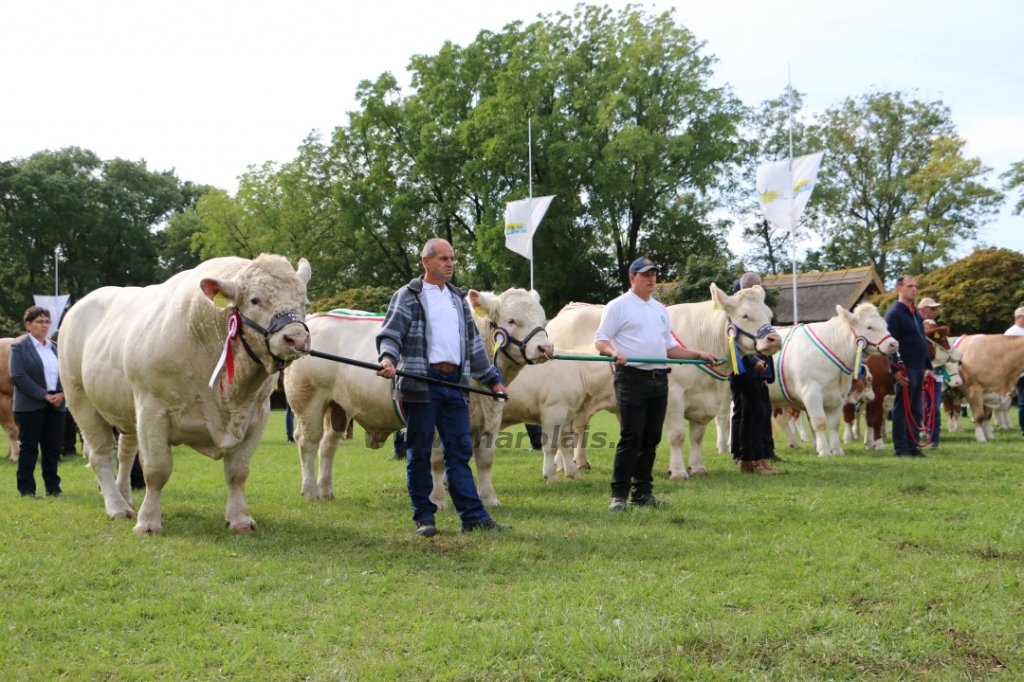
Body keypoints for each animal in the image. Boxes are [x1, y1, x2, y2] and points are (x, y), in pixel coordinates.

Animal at [59, 253, 311, 532]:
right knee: (100, 455)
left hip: (125, 408)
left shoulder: (257, 413)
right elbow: (156, 471)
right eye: (256, 299)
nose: (297, 339)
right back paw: (116, 506)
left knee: (125, 453)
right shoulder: (152, 410)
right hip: (79, 398)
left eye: (305, 302)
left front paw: (240, 519)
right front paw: (148, 522)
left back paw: (125, 498)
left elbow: (238, 471)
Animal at [280, 286, 552, 503]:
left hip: (338, 407)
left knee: (328, 445)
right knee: (308, 442)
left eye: (542, 318)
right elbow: (437, 460)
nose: (546, 347)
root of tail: (314, 318)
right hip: (308, 401)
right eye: (512, 320)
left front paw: (489, 499)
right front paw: (438, 500)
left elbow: (485, 460)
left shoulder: (491, 420)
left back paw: (326, 490)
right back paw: (311, 491)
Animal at [544, 284, 774, 481]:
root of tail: (565, 312)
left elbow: (697, 436)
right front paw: (679, 471)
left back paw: (580, 462)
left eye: (769, 315)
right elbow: (677, 435)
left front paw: (698, 467)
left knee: (580, 427)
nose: (775, 339)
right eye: (745, 315)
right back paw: (562, 466)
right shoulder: (673, 396)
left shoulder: (702, 402)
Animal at [765, 303, 901, 456]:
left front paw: (836, 450)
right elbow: (819, 423)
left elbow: (834, 424)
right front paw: (824, 451)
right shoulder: (811, 393)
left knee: (780, 418)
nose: (894, 344)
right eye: (869, 327)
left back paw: (793, 443)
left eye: (885, 325)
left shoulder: (839, 395)